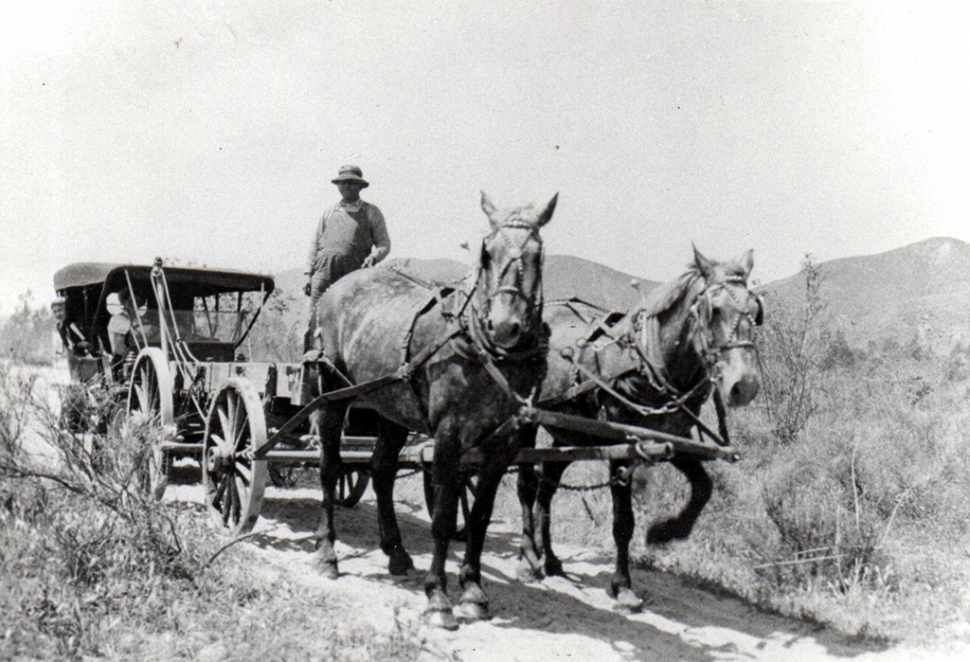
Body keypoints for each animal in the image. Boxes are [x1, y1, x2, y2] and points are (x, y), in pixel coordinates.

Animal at [306, 193, 556, 632]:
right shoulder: (449, 436)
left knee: (381, 471)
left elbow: (480, 516)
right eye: (486, 252)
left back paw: (396, 552)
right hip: (333, 395)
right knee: (330, 468)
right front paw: (438, 597)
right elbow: (442, 516)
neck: (483, 349)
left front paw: (473, 591)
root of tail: (339, 286)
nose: (504, 326)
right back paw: (327, 553)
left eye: (537, 254)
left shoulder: (503, 444)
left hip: (391, 408)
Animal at [516, 248, 764, 612]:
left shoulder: (671, 439)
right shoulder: (622, 443)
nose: (744, 387)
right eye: (714, 310)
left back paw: (549, 559)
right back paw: (527, 557)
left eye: (756, 311)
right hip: (527, 420)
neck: (650, 363)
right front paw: (623, 586)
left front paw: (665, 531)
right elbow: (623, 521)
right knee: (525, 484)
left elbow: (703, 488)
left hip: (571, 434)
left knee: (546, 486)